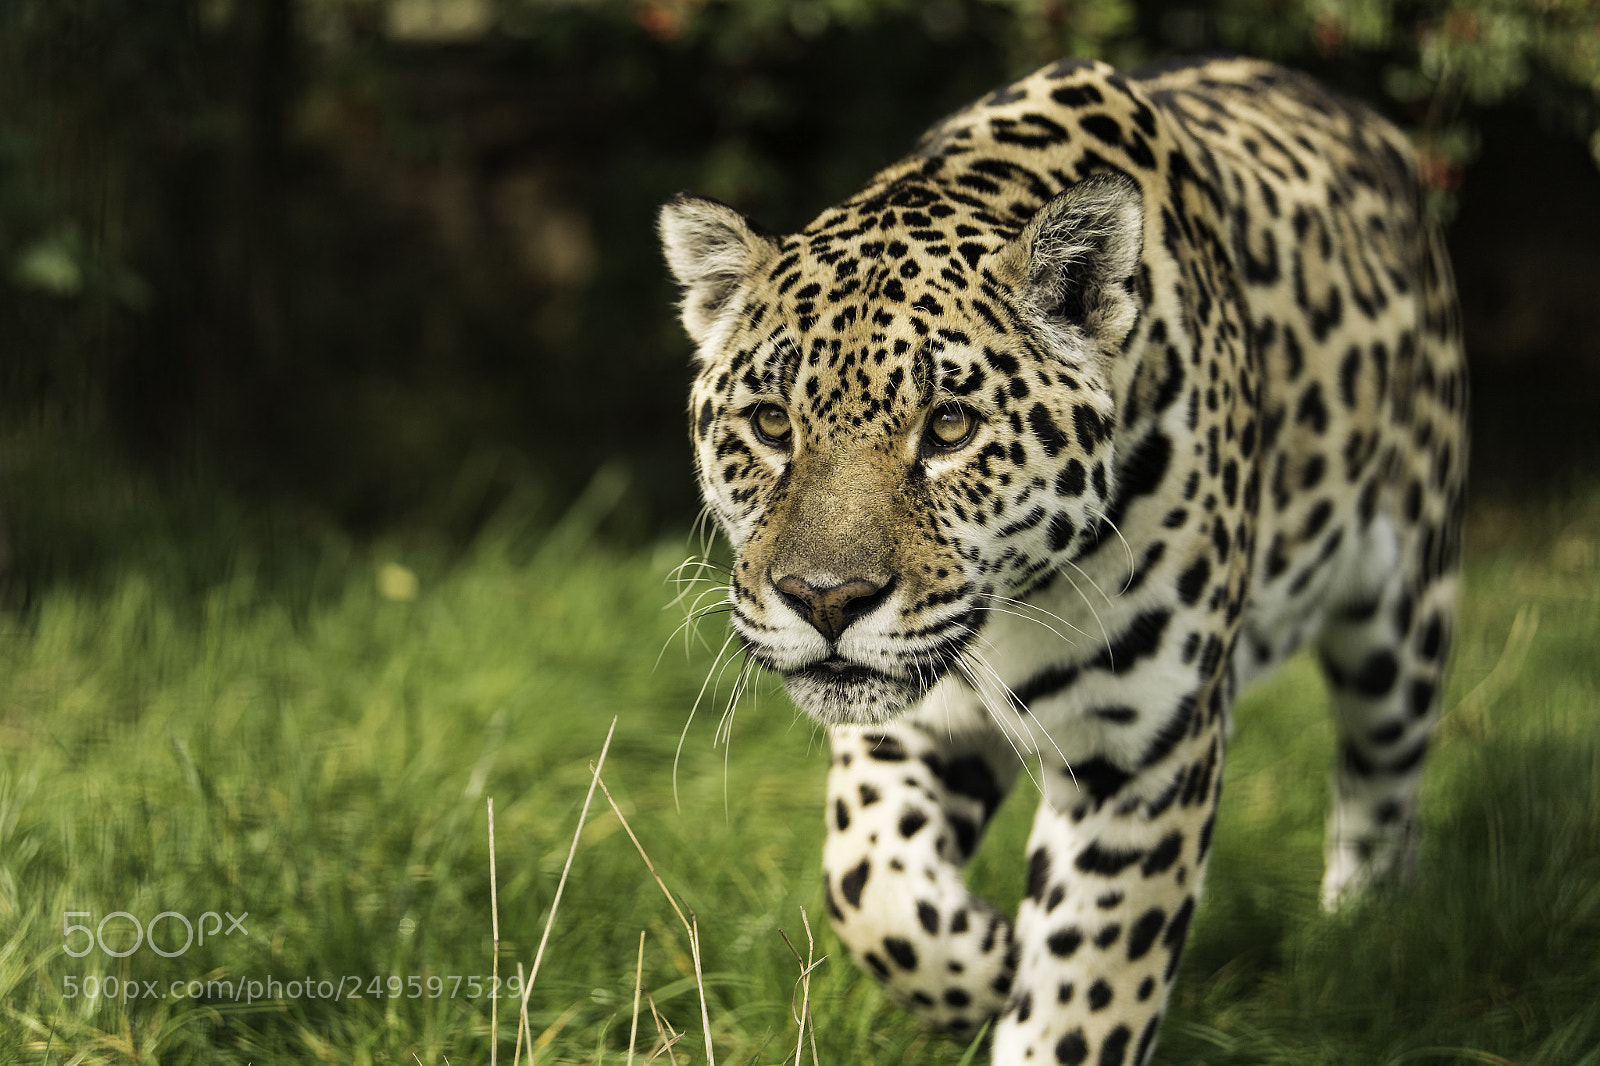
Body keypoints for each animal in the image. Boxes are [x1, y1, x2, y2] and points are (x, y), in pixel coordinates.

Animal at [658, 54, 1465, 1065]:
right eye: (771, 424)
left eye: (950, 427)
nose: (826, 600)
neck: (1011, 608)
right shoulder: (906, 731)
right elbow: (870, 888)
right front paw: (991, 962)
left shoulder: (1143, 755)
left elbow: (1087, 992)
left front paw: (1028, 990)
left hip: (1405, 614)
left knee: (1382, 782)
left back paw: (1364, 933)